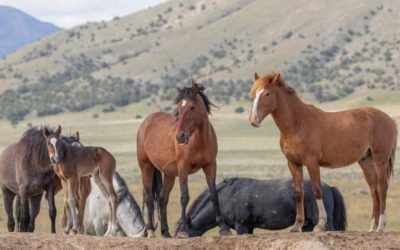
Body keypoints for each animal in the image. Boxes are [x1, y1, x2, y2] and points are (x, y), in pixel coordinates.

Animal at [137, 81, 231, 237]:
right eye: (179, 109)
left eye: (192, 107)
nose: (180, 136)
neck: (200, 140)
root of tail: (146, 122)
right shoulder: (183, 167)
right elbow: (184, 197)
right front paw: (183, 230)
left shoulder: (211, 166)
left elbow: (214, 195)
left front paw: (224, 228)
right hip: (146, 167)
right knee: (150, 198)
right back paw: (150, 231)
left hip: (169, 173)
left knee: (162, 199)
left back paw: (166, 232)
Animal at [176, 178, 346, 236]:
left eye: (182, 236)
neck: (227, 196)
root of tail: (328, 187)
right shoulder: (249, 227)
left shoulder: (242, 226)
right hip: (307, 225)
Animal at [248, 71, 396, 232]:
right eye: (253, 94)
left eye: (267, 94)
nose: (253, 120)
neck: (298, 123)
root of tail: (390, 120)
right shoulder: (293, 164)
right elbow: (298, 192)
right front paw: (296, 225)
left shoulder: (312, 163)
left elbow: (317, 190)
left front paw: (320, 223)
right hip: (366, 161)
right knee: (374, 191)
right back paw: (372, 228)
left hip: (380, 159)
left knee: (382, 188)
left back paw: (380, 227)